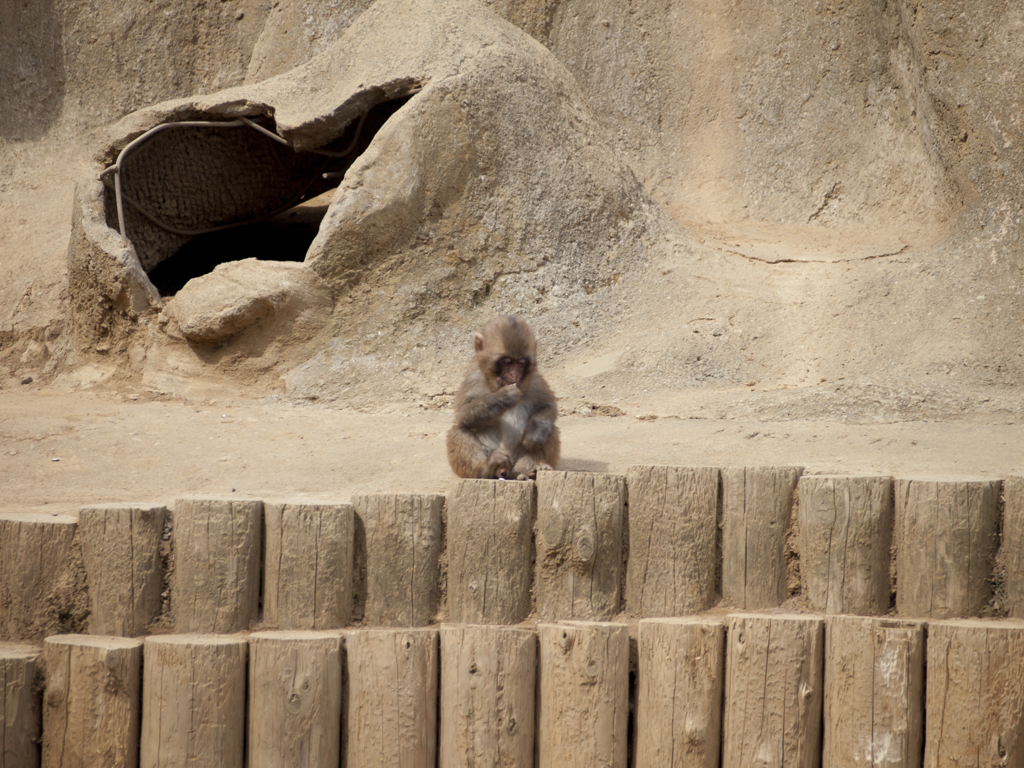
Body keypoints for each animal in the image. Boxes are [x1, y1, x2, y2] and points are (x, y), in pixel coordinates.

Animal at [446, 315, 561, 479]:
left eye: (521, 362)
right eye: (507, 361)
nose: (514, 375)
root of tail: (505, 472)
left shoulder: (535, 381)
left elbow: (547, 405)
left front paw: (535, 433)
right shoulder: (473, 379)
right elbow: (463, 414)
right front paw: (504, 397)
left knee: (551, 430)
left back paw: (527, 471)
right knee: (458, 430)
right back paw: (487, 468)